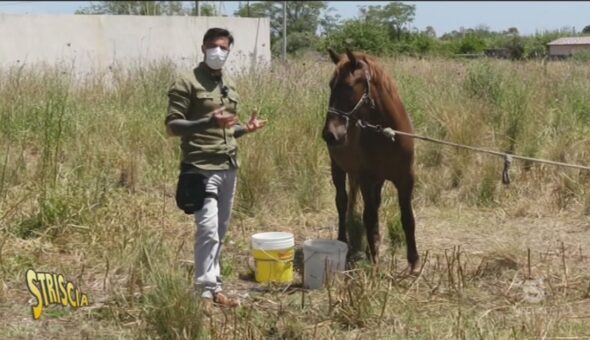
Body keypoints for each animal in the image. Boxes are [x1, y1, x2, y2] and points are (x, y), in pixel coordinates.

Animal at [324, 48, 420, 270]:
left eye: (348, 86)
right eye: (331, 86)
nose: (330, 134)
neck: (388, 135)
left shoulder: (405, 179)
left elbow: (407, 218)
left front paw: (413, 262)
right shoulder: (366, 179)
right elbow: (368, 217)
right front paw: (374, 261)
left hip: (378, 180)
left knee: (374, 205)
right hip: (338, 169)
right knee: (342, 203)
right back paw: (343, 240)